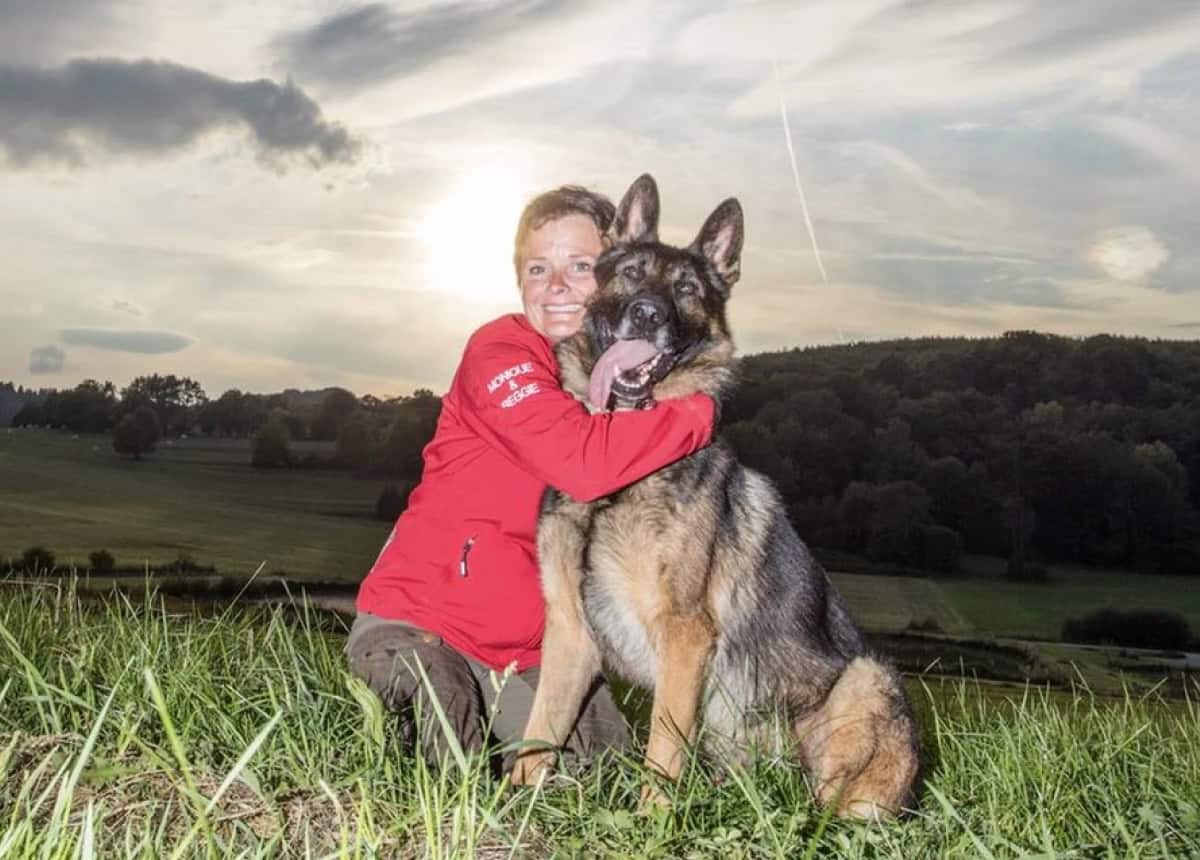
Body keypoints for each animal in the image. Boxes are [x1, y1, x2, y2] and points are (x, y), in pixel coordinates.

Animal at [508, 173, 916, 820]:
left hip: (865, 682)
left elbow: (662, 746)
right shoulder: (570, 633)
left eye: (687, 289)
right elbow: (539, 734)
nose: (647, 314)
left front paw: (652, 822)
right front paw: (513, 808)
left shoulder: (684, 634)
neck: (619, 468)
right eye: (630, 272)